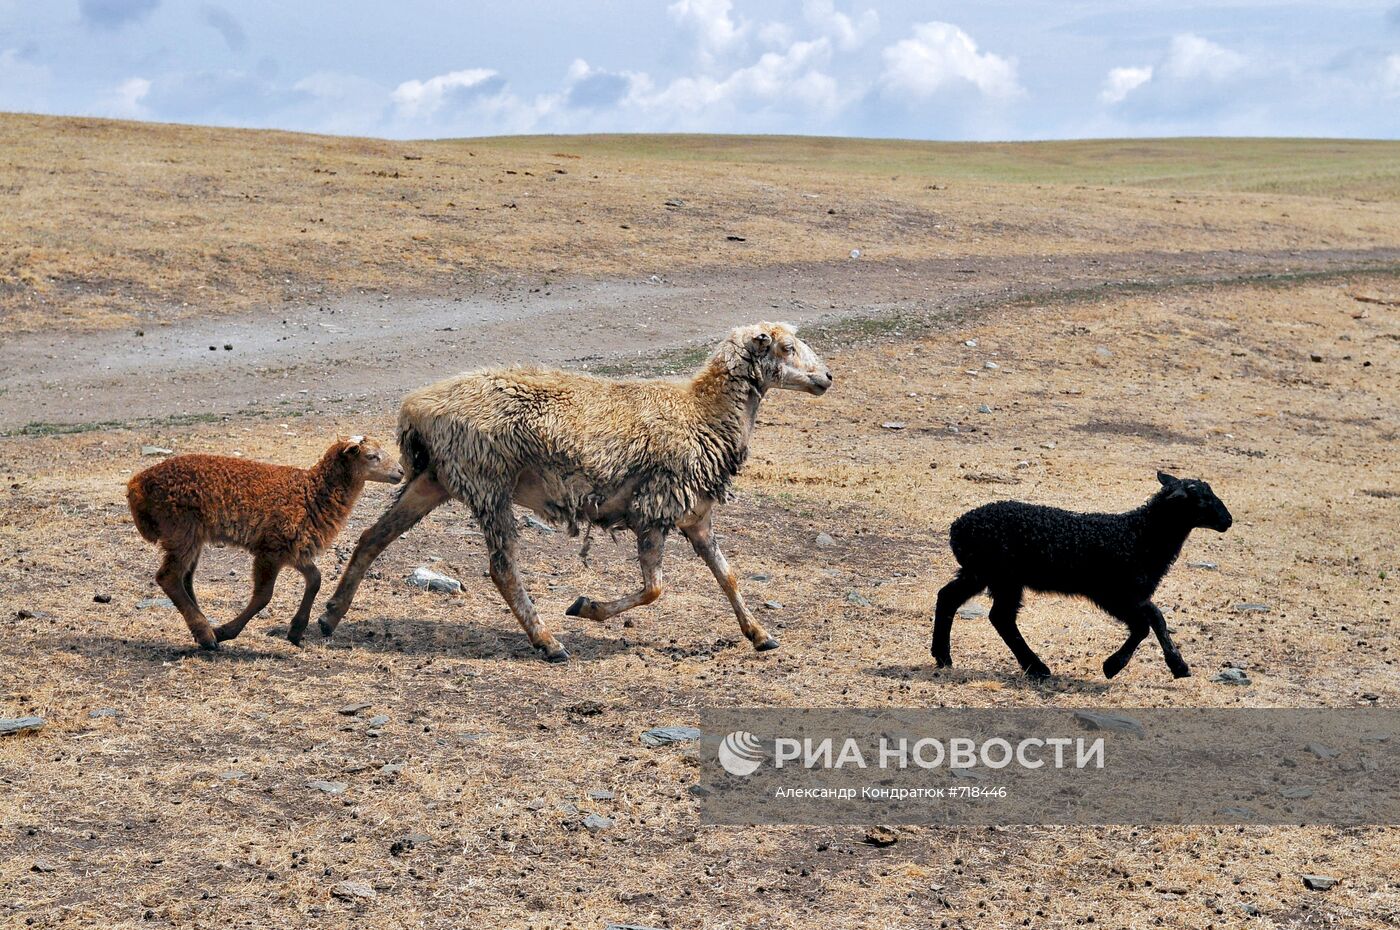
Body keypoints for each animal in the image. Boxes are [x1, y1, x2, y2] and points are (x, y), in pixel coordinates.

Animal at [126, 436, 403, 649]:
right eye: (371, 456)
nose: (401, 471)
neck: (311, 492)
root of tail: (137, 484)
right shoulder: (271, 549)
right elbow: (263, 596)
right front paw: (226, 632)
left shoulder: (293, 549)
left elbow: (315, 580)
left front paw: (296, 631)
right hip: (181, 528)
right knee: (169, 577)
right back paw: (206, 635)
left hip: (191, 534)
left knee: (184, 579)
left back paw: (201, 629)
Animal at [935, 476, 1232, 680]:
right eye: (1201, 499)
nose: (1228, 520)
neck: (1139, 535)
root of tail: (957, 528)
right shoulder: (1115, 594)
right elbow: (1146, 624)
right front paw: (1114, 666)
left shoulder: (1130, 595)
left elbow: (1153, 619)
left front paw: (1176, 665)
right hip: (998, 574)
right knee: (998, 616)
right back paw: (1037, 667)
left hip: (985, 574)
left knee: (956, 600)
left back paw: (944, 657)